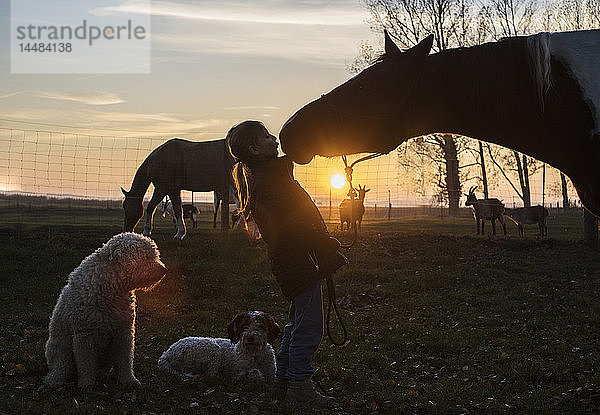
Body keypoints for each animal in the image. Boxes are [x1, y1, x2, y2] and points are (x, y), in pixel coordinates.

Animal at [44, 232, 166, 388]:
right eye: (146, 257)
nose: (164, 270)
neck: (111, 286)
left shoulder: (124, 333)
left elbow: (125, 361)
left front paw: (129, 380)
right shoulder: (85, 336)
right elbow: (86, 365)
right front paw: (86, 384)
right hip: (60, 349)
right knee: (61, 366)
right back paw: (54, 380)